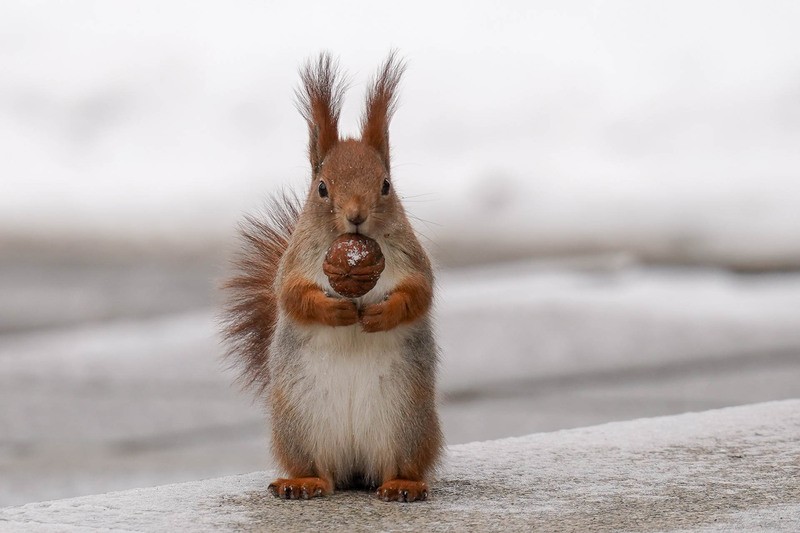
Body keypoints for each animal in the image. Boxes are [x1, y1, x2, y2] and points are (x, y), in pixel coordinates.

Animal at [220, 52, 444, 500]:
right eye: (322, 188)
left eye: (386, 185)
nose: (355, 215)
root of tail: (356, 469)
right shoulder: (295, 262)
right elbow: (291, 296)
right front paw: (335, 312)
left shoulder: (414, 260)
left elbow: (419, 293)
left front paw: (380, 315)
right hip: (298, 428)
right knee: (319, 470)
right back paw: (302, 483)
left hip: (408, 424)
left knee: (400, 464)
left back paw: (402, 485)